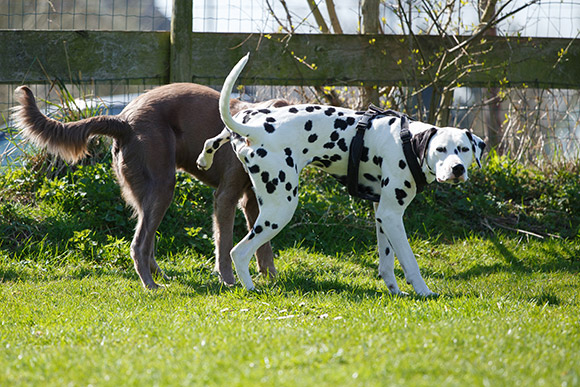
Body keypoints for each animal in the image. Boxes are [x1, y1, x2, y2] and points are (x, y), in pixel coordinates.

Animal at [12, 85, 286, 292]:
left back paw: (161, 277)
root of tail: (123, 121)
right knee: (139, 244)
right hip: (162, 185)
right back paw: (151, 285)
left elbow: (263, 244)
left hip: (148, 192)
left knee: (147, 240)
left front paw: (270, 276)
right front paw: (229, 281)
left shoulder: (253, 199)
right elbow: (225, 243)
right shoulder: (225, 196)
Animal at [197, 53, 488, 298]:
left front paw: (395, 291)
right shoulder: (393, 215)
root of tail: (254, 129)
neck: (408, 141)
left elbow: (387, 262)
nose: (457, 169)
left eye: (463, 149)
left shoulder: (383, 215)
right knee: (239, 252)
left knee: (216, 139)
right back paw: (251, 289)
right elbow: (409, 260)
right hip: (279, 210)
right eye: (440, 149)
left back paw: (205, 156)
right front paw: (424, 292)